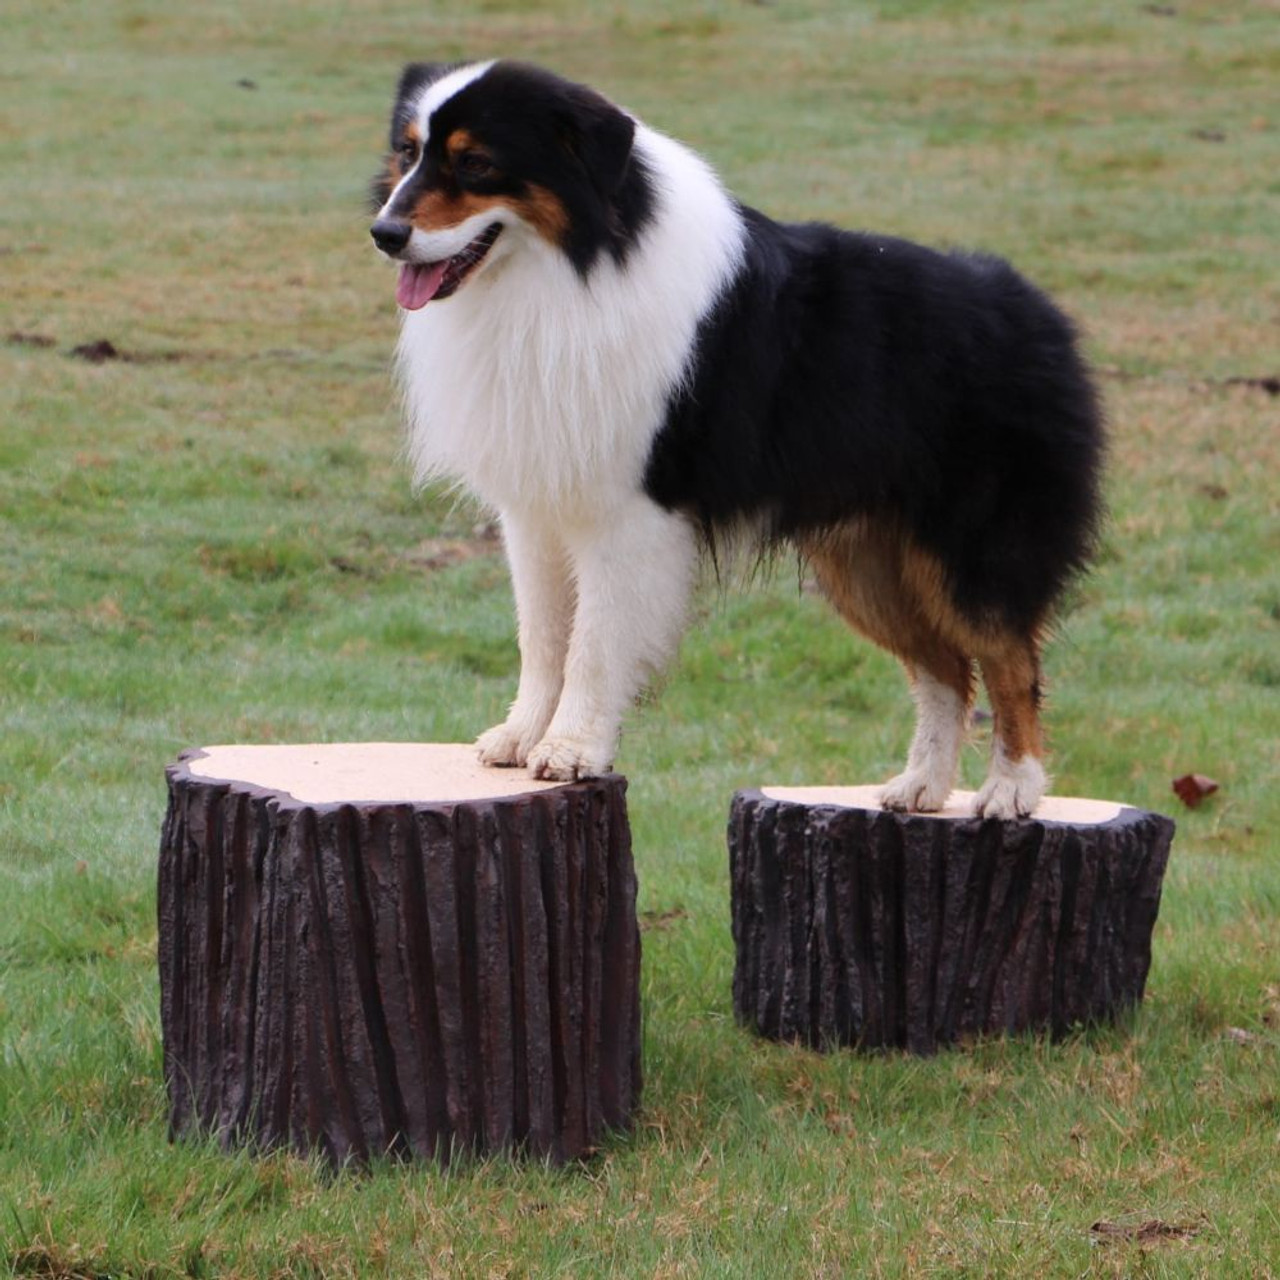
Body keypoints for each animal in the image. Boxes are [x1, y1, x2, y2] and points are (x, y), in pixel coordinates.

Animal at [368, 60, 1100, 814]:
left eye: (476, 164)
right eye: (406, 153)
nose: (384, 232)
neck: (571, 270)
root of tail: (1035, 308)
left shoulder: (628, 514)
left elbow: (594, 645)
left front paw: (571, 750)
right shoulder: (536, 510)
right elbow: (541, 636)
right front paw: (520, 737)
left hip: (971, 552)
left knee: (1011, 662)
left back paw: (1012, 788)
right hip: (866, 563)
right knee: (946, 668)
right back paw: (921, 785)